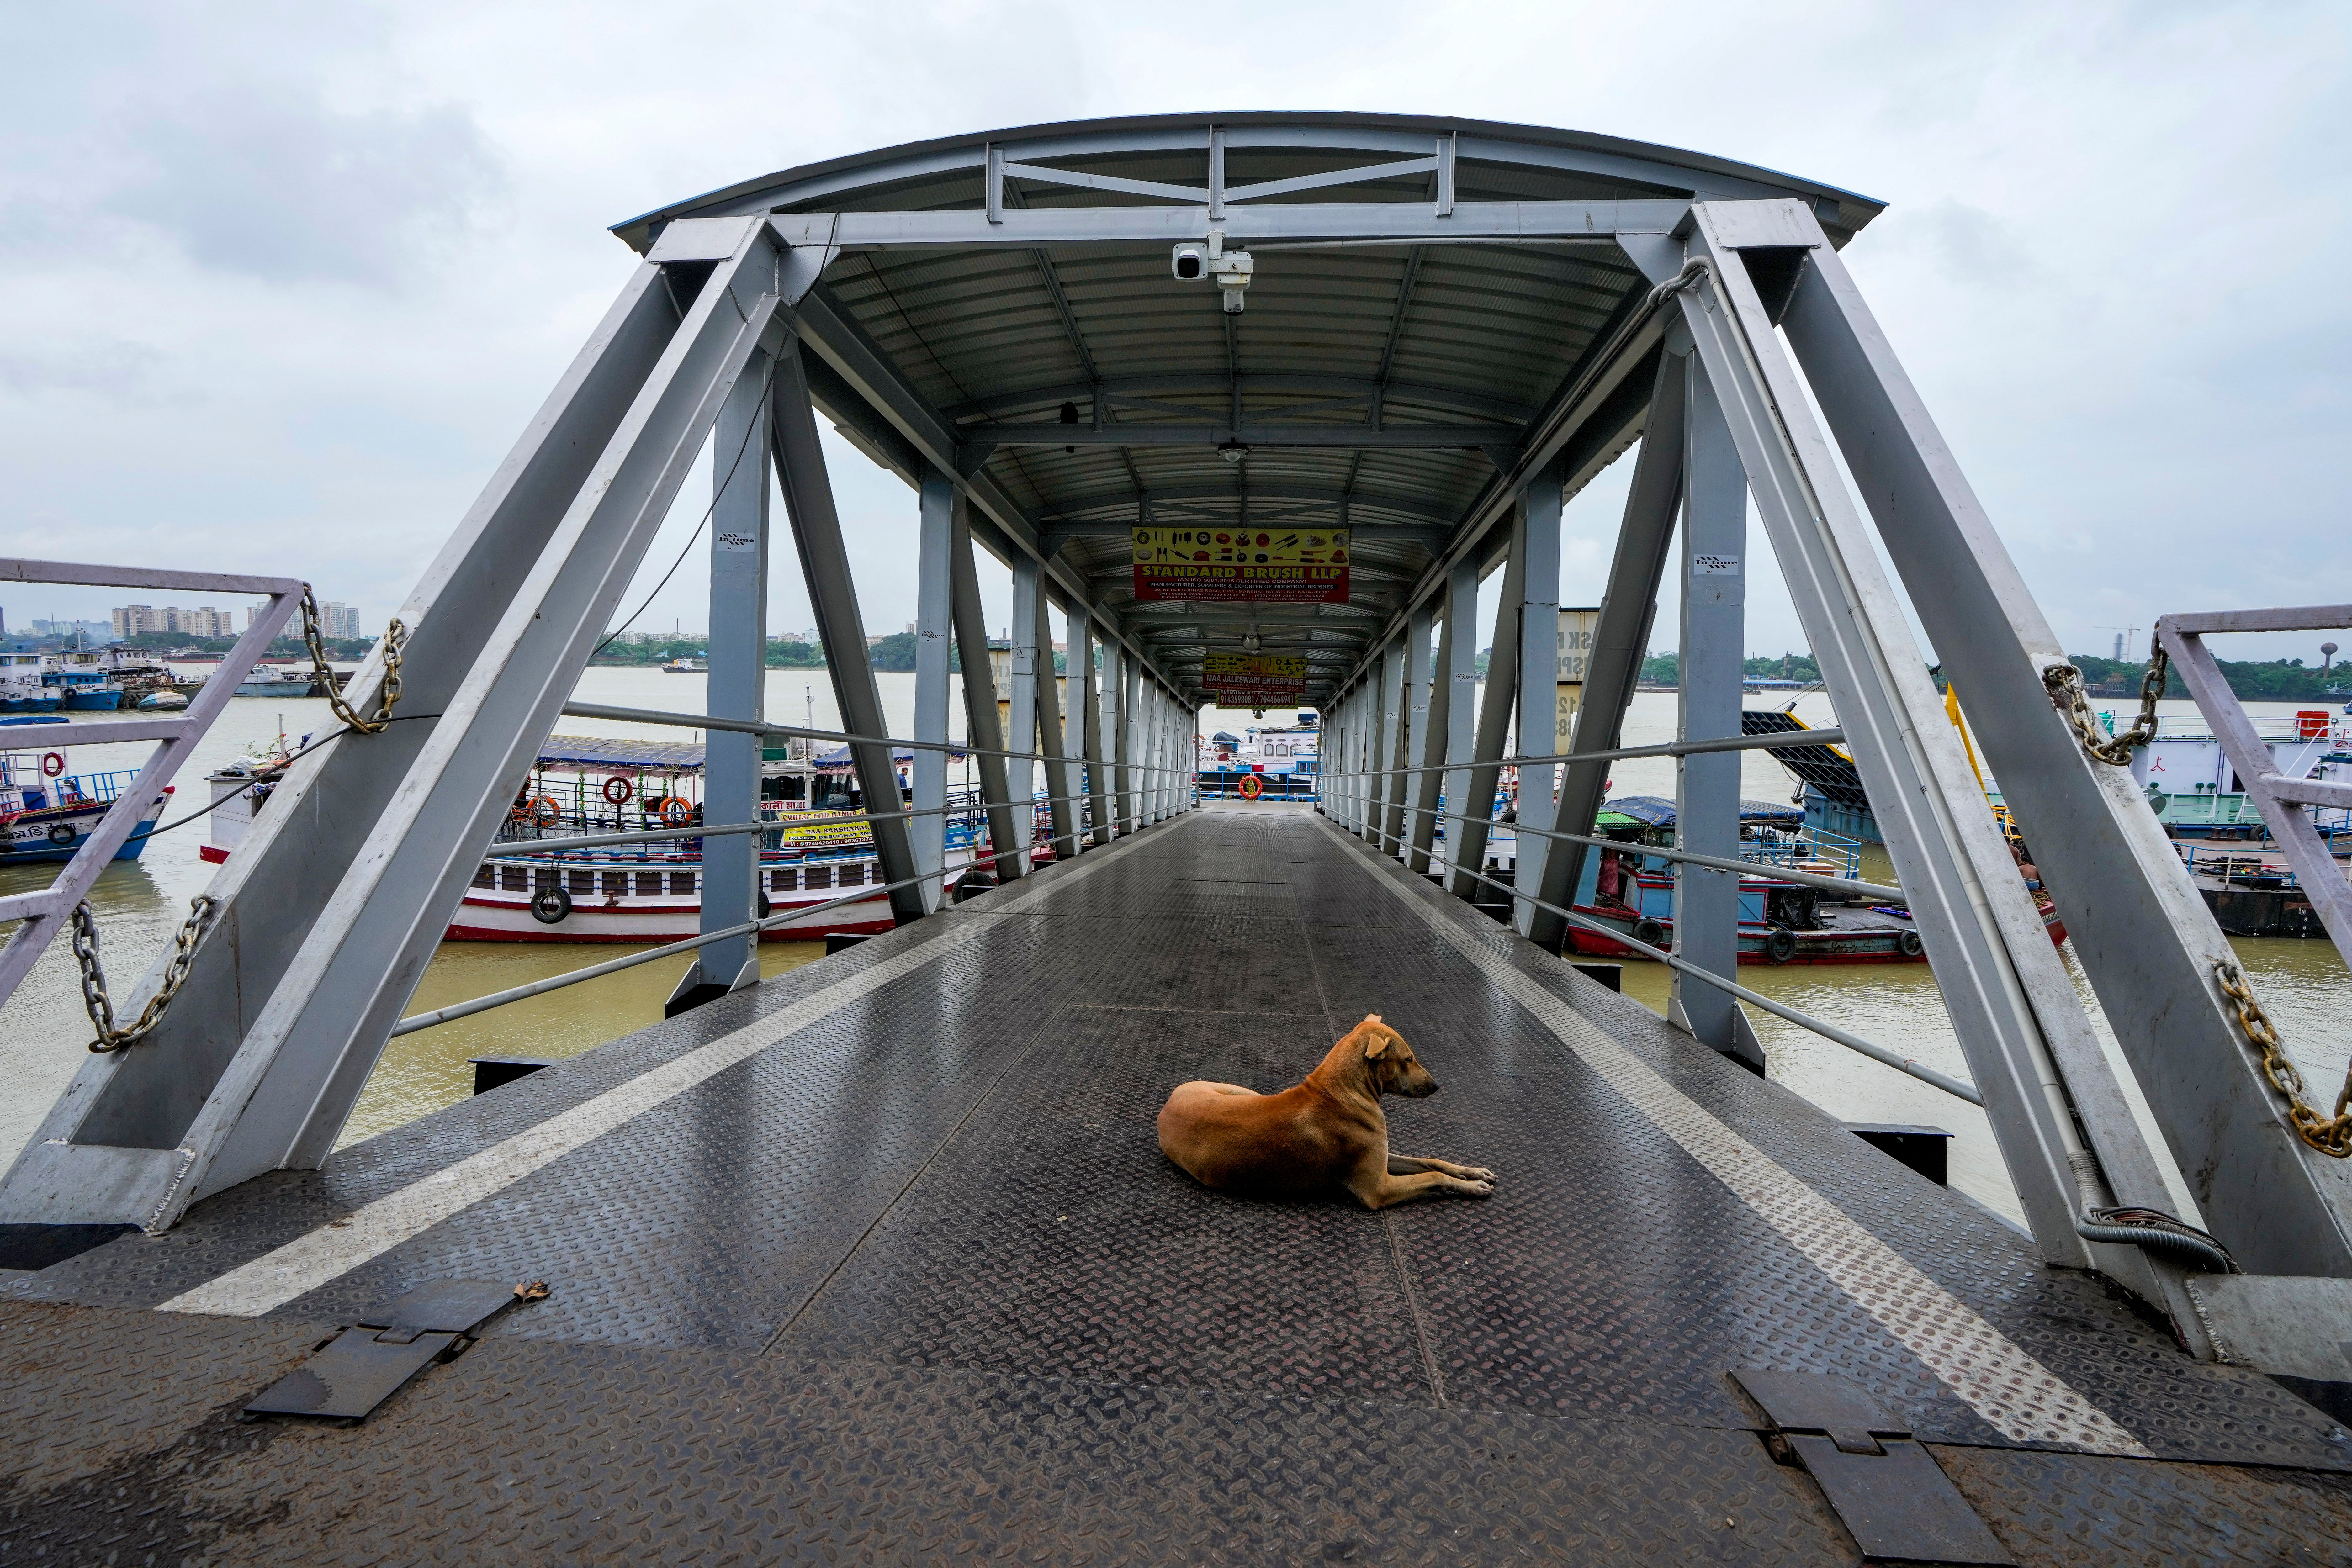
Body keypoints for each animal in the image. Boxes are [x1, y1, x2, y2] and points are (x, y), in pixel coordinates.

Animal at [1152, 1020, 1496, 1213]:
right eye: (1409, 1059)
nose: (1437, 1086)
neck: (1340, 1091)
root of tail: (1167, 1107)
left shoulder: (1383, 1159)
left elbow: (1431, 1161)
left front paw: (1472, 1172)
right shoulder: (1378, 1189)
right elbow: (1432, 1176)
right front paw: (1470, 1186)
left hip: (1244, 1093)